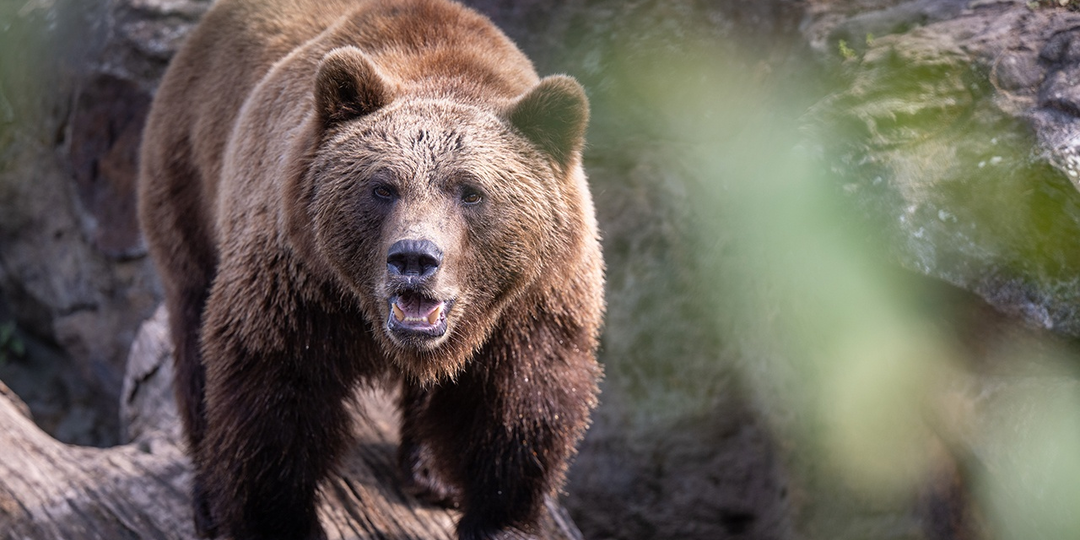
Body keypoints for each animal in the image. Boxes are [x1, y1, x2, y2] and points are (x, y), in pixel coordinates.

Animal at [135, 0, 604, 539]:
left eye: (470, 192)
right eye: (382, 187)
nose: (414, 258)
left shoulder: (533, 298)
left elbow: (520, 401)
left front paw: (500, 519)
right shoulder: (298, 282)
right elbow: (272, 397)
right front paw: (276, 520)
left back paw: (433, 474)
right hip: (189, 177)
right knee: (193, 332)